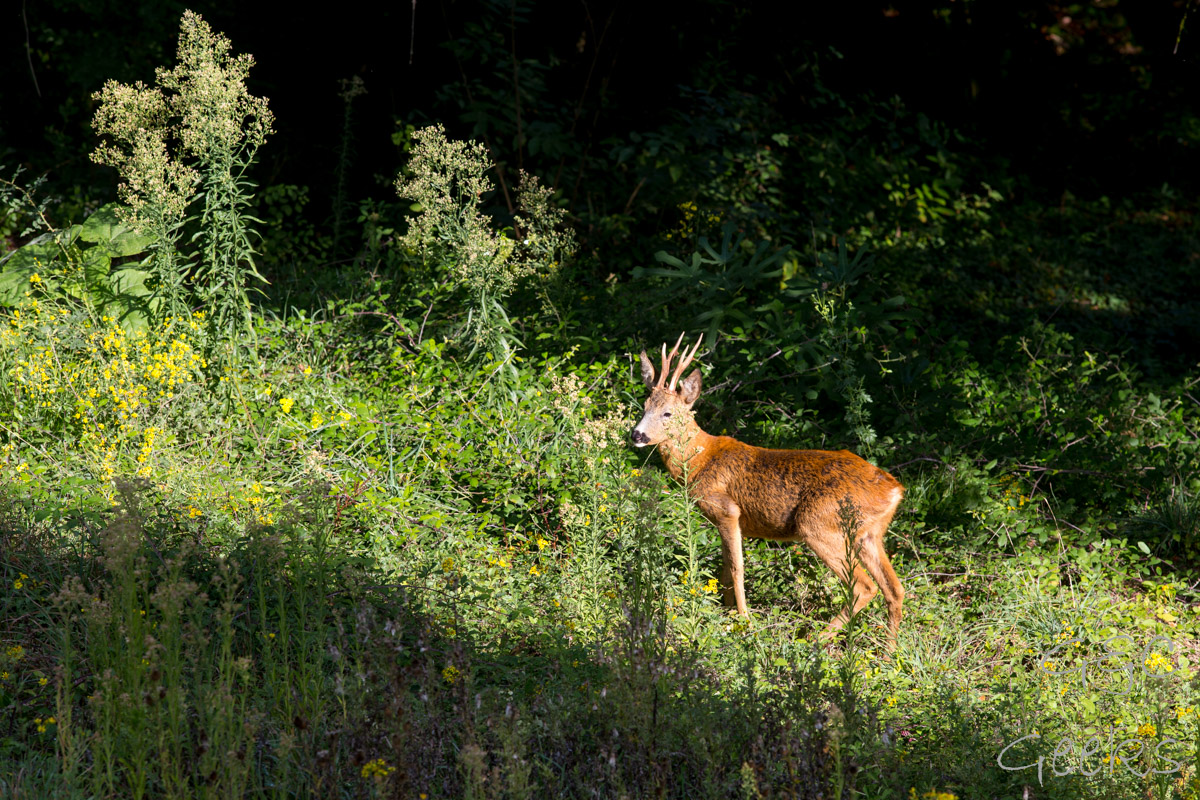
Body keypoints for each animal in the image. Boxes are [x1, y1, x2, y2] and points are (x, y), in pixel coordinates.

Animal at [633, 331, 902, 652]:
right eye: (644, 406)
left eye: (667, 412)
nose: (636, 434)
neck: (699, 460)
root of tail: (894, 490)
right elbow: (724, 570)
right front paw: (726, 614)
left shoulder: (727, 510)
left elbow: (737, 569)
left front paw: (745, 622)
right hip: (868, 534)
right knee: (894, 588)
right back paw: (890, 653)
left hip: (820, 524)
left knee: (863, 586)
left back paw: (813, 641)